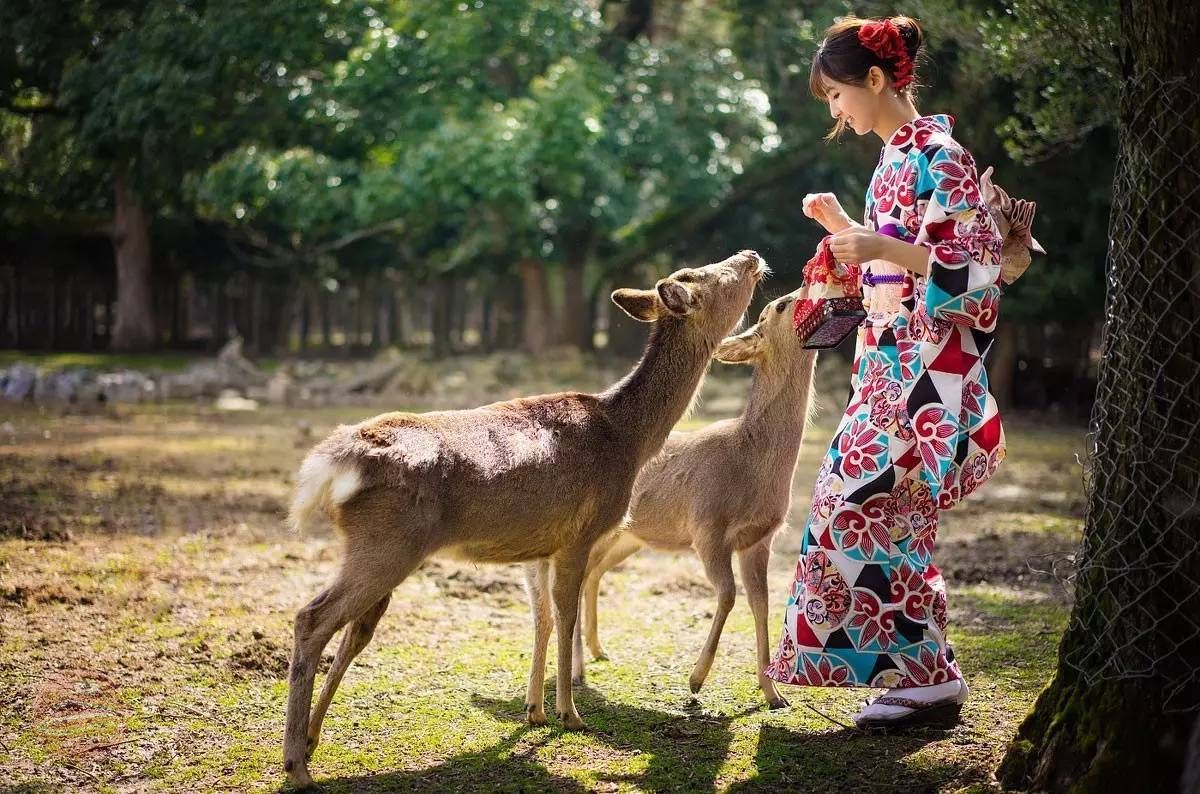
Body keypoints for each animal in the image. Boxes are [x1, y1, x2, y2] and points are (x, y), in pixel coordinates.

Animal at [282, 250, 767, 788]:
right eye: (711, 277)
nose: (750, 257)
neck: (629, 438)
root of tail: (329, 464)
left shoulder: (541, 545)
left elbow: (542, 619)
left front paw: (534, 711)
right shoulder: (581, 532)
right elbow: (566, 614)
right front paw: (570, 714)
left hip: (374, 546)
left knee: (353, 630)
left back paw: (311, 739)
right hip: (386, 543)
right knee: (311, 618)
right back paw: (296, 764)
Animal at [565, 286, 818, 710]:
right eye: (781, 305)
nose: (808, 288)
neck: (750, 465)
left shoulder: (759, 539)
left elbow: (762, 603)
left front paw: (774, 694)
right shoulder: (707, 526)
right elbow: (729, 595)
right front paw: (696, 680)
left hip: (630, 538)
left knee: (594, 572)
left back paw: (599, 651)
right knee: (582, 573)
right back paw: (578, 670)